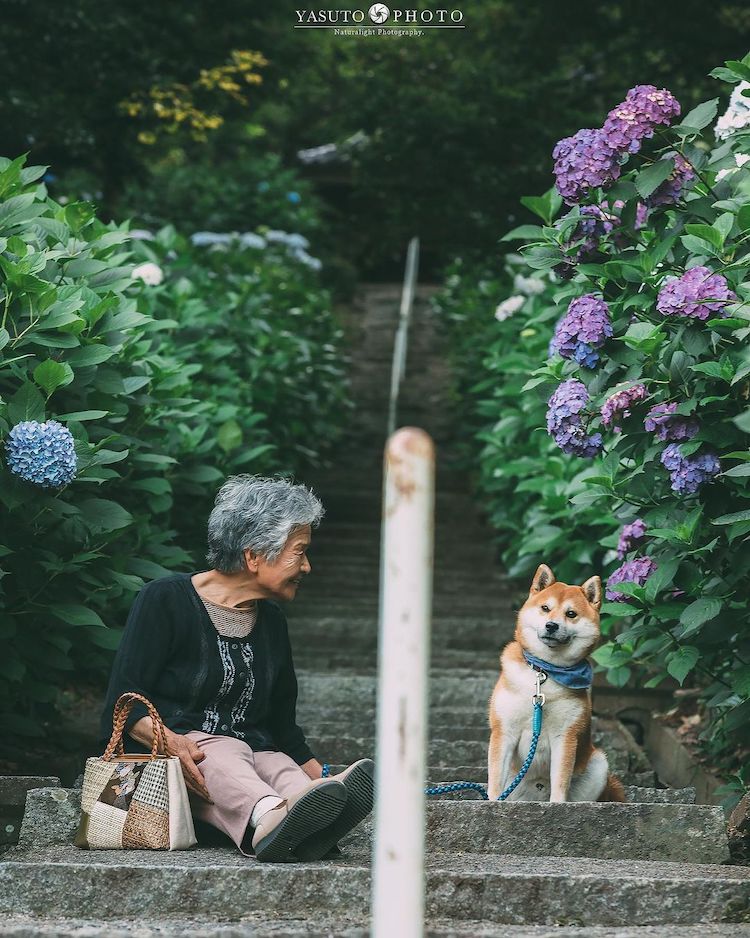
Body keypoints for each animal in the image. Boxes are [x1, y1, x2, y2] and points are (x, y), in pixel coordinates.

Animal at [488, 560, 628, 800]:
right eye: (545, 608)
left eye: (571, 613)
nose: (551, 625)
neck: (546, 671)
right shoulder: (504, 730)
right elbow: (495, 780)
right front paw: (493, 802)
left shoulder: (565, 737)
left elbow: (561, 781)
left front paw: (557, 805)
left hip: (598, 763)